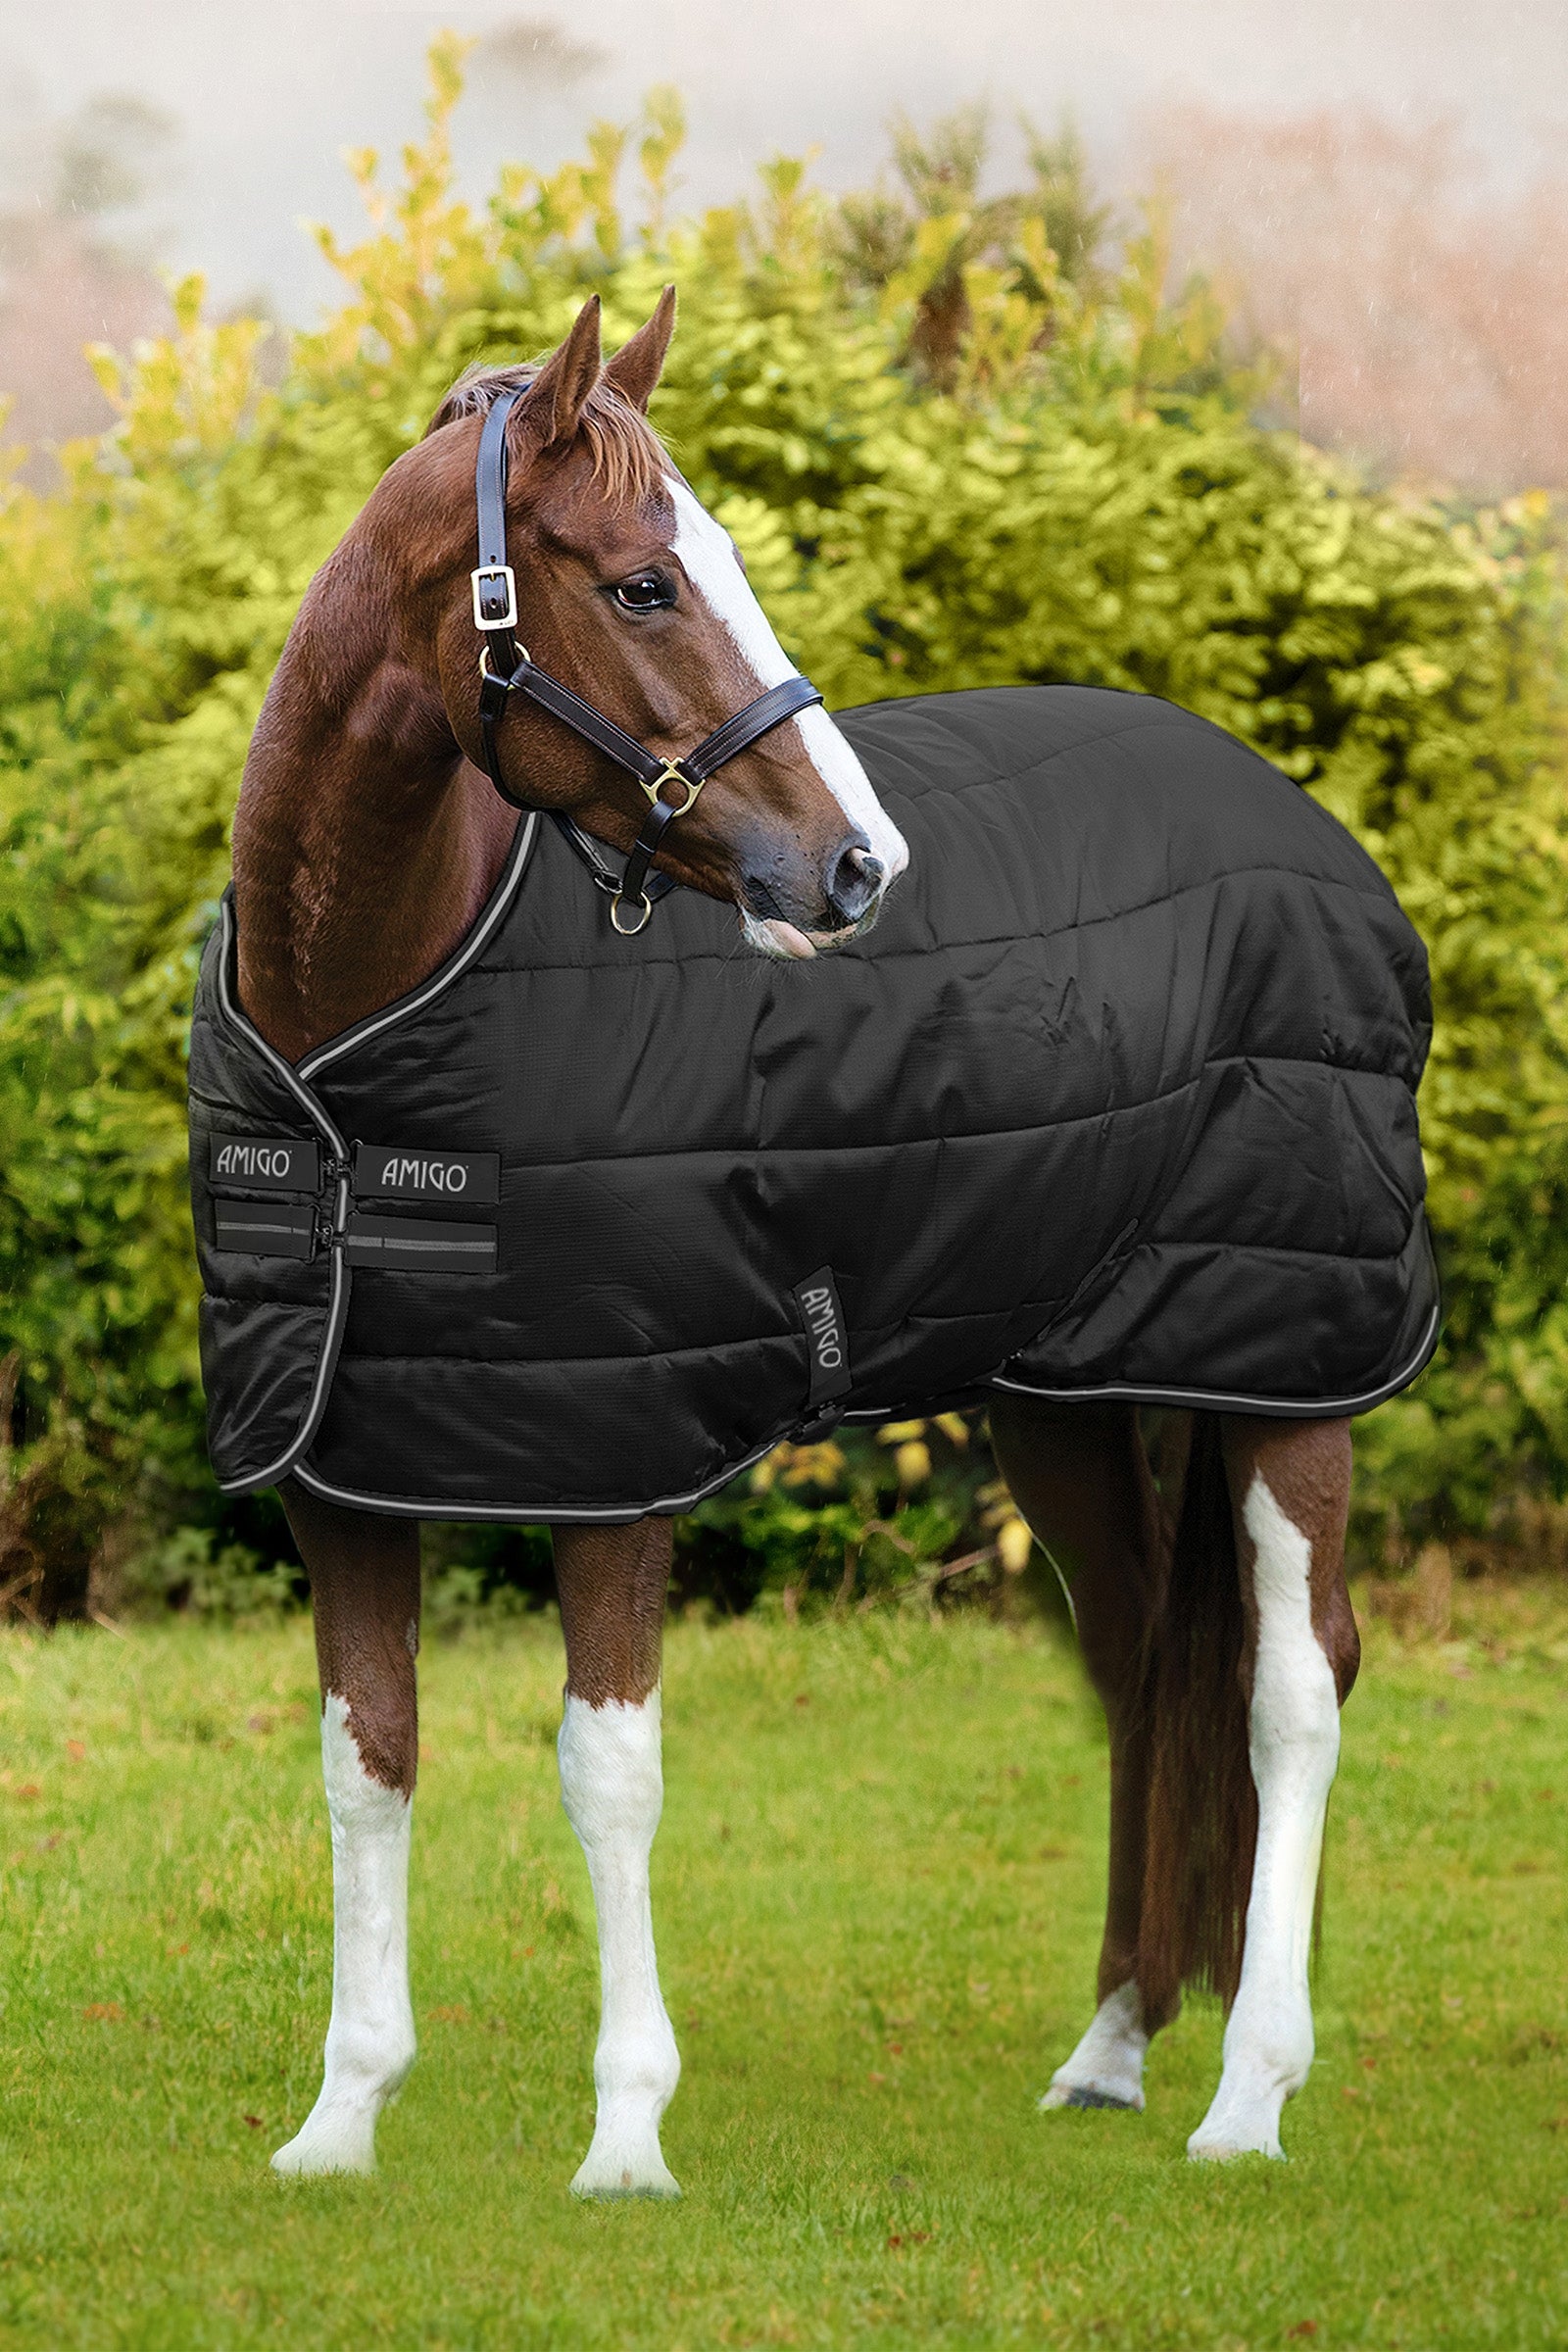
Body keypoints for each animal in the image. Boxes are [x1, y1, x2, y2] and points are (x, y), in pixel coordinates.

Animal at [214, 288, 1386, 2192]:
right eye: (641, 585)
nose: (856, 868)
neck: (357, 1052)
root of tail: (1301, 825)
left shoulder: (613, 1460)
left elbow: (607, 1771)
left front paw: (627, 2140)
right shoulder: (342, 1466)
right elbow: (366, 1759)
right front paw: (340, 2120)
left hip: (1294, 1369)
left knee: (1293, 1683)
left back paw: (1248, 2095)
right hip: (1063, 1394)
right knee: (1147, 1659)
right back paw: (1115, 2048)